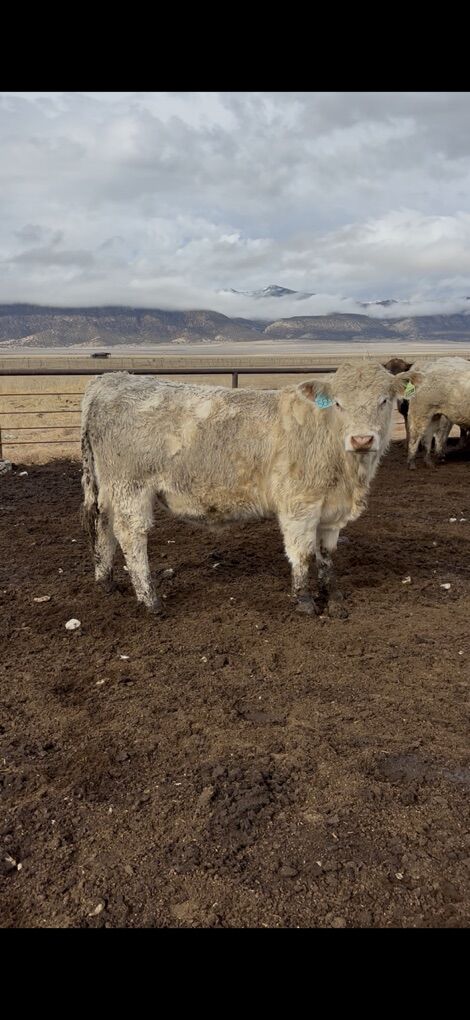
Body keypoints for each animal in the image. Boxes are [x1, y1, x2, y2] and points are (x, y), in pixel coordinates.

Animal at [81, 363, 404, 619]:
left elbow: (326, 555)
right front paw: (304, 601)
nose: (361, 439)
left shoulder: (331, 511)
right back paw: (151, 601)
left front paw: (334, 600)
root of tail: (109, 379)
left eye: (384, 400)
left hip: (108, 488)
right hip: (130, 487)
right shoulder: (298, 505)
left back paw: (106, 583)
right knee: (130, 534)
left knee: (103, 526)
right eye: (338, 403)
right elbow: (302, 553)